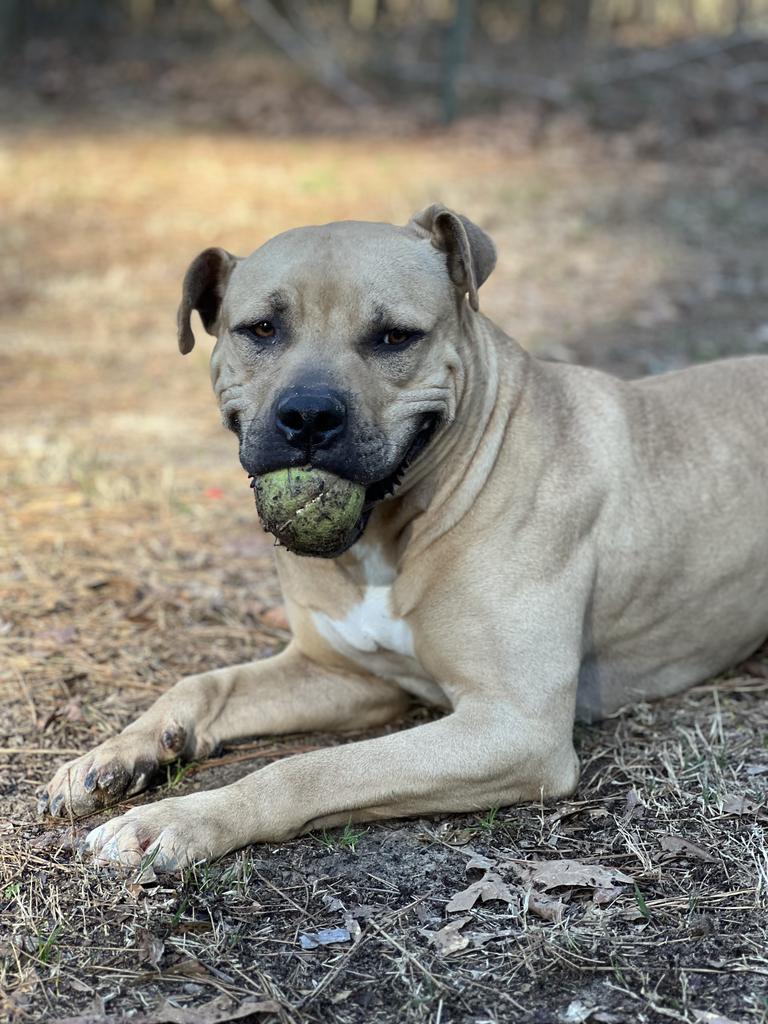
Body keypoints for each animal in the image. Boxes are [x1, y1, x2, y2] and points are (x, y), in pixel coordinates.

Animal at [37, 207, 768, 872]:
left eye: (394, 337)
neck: (393, 535)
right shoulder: (347, 675)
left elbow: (310, 769)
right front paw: (120, 752)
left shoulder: (514, 726)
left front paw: (181, 818)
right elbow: (202, 685)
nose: (308, 414)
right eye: (262, 329)